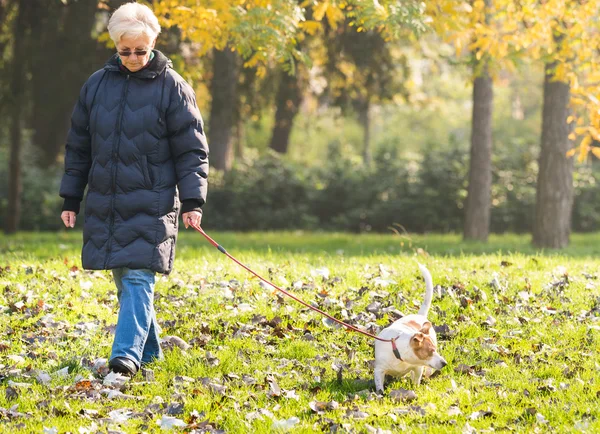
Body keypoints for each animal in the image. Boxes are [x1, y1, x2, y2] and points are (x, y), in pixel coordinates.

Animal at [372, 262, 448, 392]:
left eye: (435, 349)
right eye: (430, 351)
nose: (444, 363)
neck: (400, 354)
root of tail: (420, 315)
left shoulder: (417, 367)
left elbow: (416, 380)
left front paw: (415, 389)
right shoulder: (379, 370)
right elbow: (379, 385)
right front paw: (380, 394)